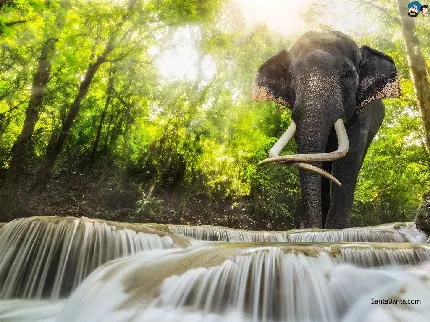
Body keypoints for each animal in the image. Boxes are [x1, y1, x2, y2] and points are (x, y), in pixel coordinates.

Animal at [250, 30, 402, 229]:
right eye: (291, 76)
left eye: (347, 73)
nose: (310, 227)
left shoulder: (361, 112)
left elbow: (350, 157)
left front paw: (335, 228)